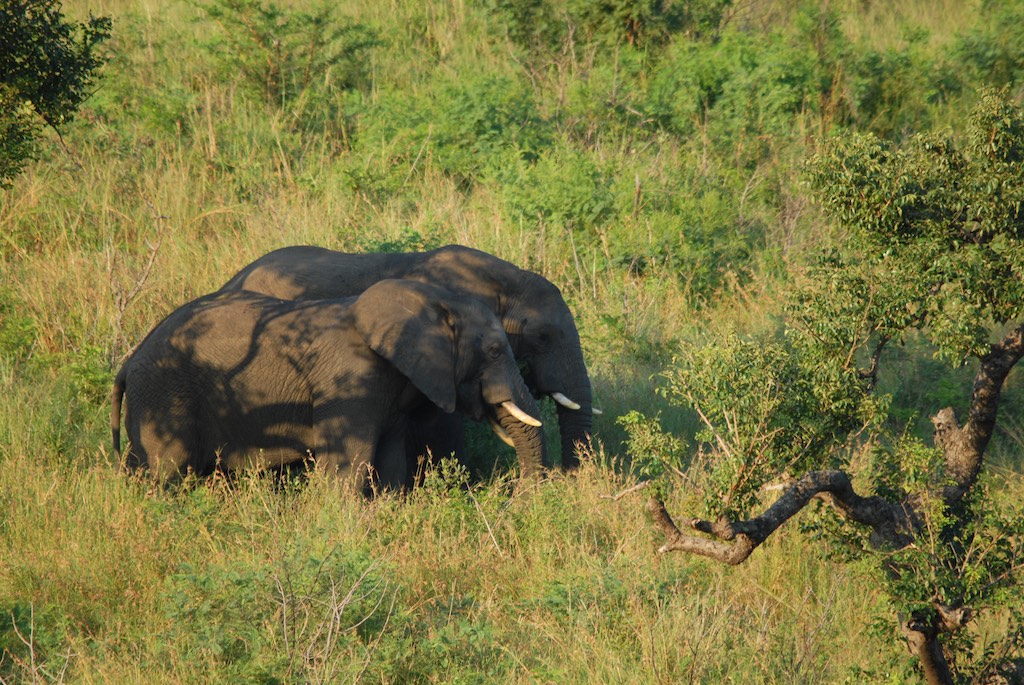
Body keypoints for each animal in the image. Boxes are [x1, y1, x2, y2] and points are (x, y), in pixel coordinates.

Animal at [108, 278, 548, 485]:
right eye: (495, 350)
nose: (519, 498)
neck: (435, 299)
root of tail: (129, 364)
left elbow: (388, 463)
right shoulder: (349, 380)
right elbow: (347, 466)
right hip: (164, 395)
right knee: (165, 469)